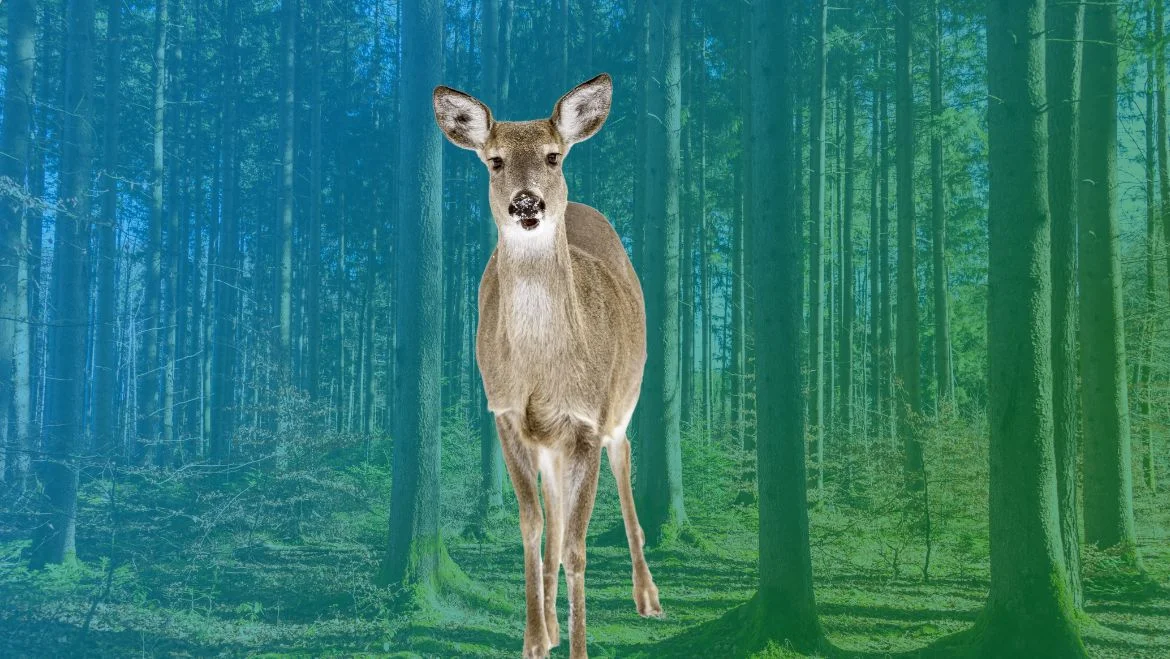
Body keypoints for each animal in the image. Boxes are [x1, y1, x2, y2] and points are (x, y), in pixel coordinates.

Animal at [433, 73, 662, 659]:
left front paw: (579, 648)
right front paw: (536, 639)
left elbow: (579, 545)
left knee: (624, 457)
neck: (543, 370)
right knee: (554, 514)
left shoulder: (586, 419)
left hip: (620, 400)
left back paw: (647, 595)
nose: (526, 202)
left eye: (553, 156)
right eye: (494, 161)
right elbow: (533, 524)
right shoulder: (507, 413)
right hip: (550, 443)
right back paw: (555, 621)